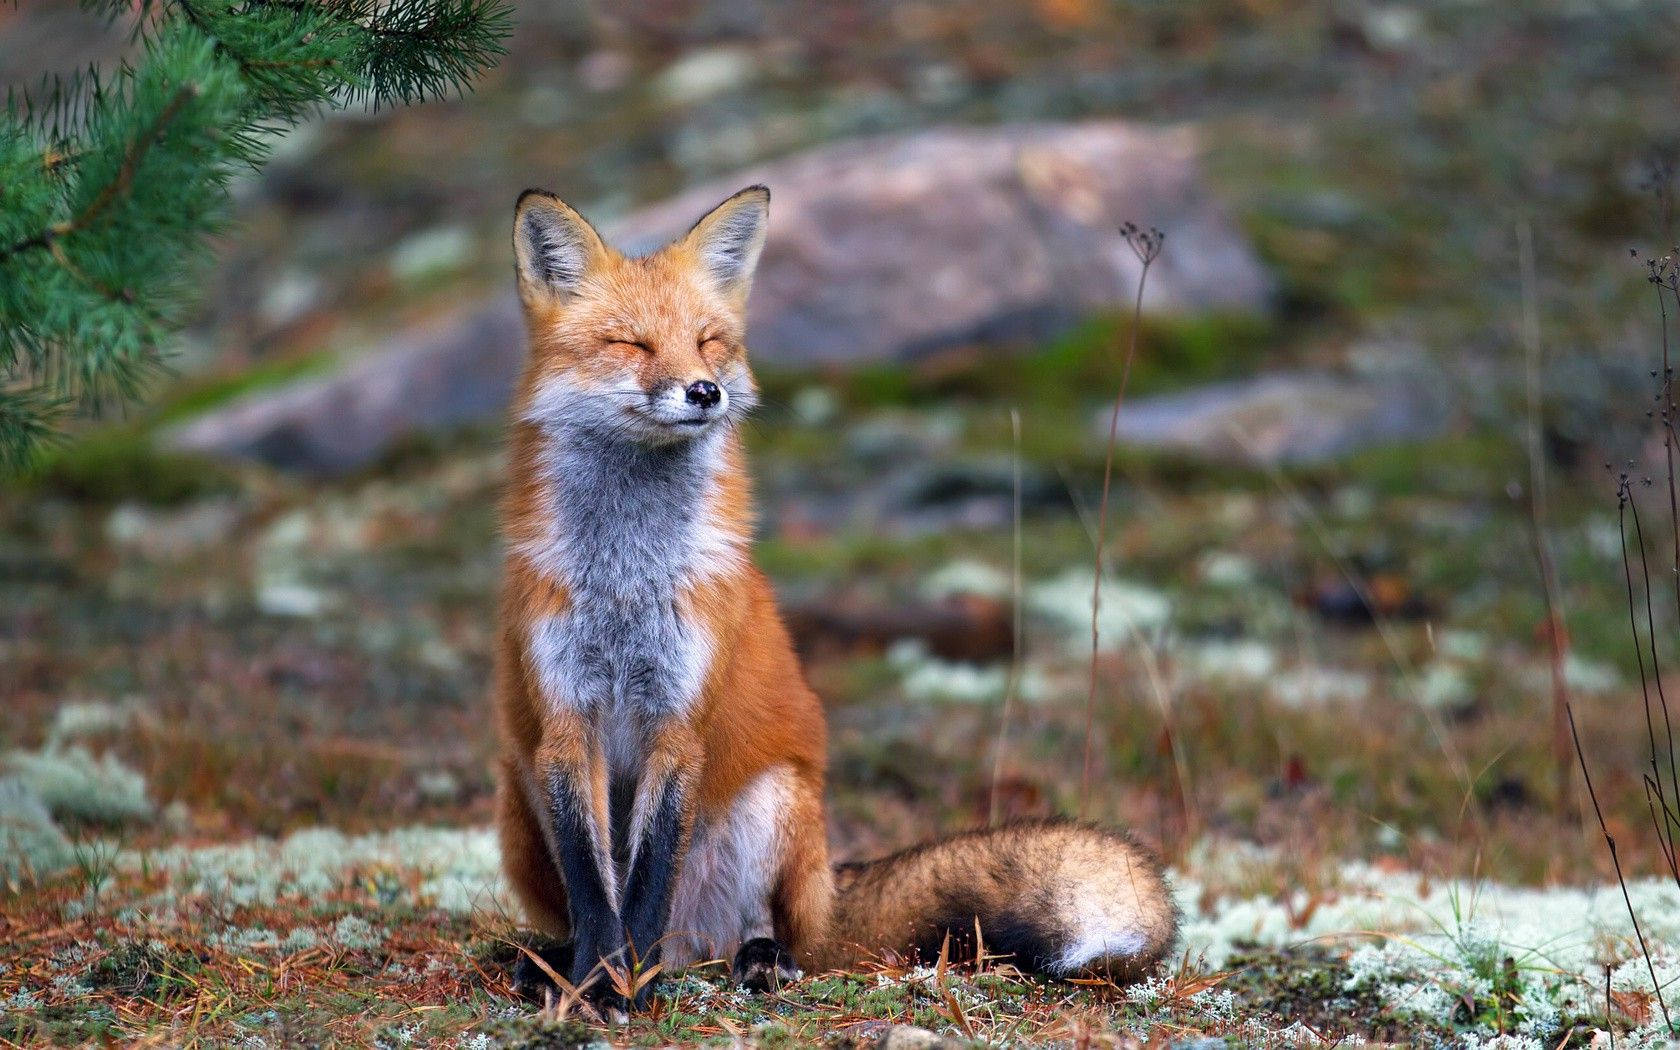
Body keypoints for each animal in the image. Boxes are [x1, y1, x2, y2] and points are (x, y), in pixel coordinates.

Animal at [490, 183, 1176, 1014]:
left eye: (709, 341)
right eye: (632, 345)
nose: (705, 392)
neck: (627, 578)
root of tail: (828, 888)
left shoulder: (679, 721)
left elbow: (645, 881)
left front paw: (629, 985)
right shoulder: (565, 722)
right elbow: (599, 891)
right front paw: (594, 981)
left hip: (777, 804)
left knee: (767, 933)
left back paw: (753, 960)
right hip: (519, 794)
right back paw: (549, 961)